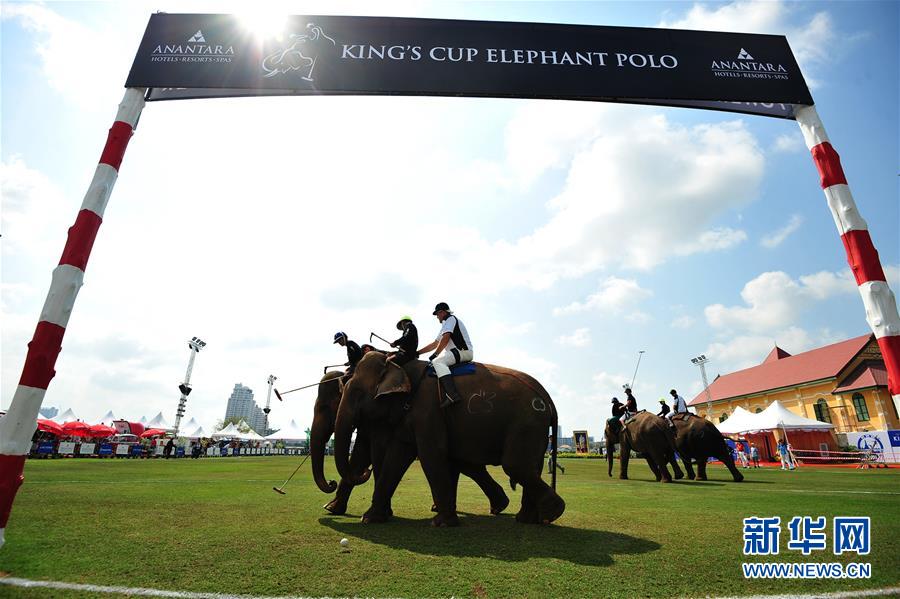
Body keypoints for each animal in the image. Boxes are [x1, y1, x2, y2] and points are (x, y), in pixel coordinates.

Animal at [334, 354, 568, 528]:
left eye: (357, 392)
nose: (366, 471)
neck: (401, 366)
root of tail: (547, 397)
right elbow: (397, 457)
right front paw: (369, 518)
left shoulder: (429, 410)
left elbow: (431, 453)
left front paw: (442, 523)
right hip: (533, 427)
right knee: (529, 467)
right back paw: (527, 518)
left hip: (527, 422)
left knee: (515, 465)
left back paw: (551, 513)